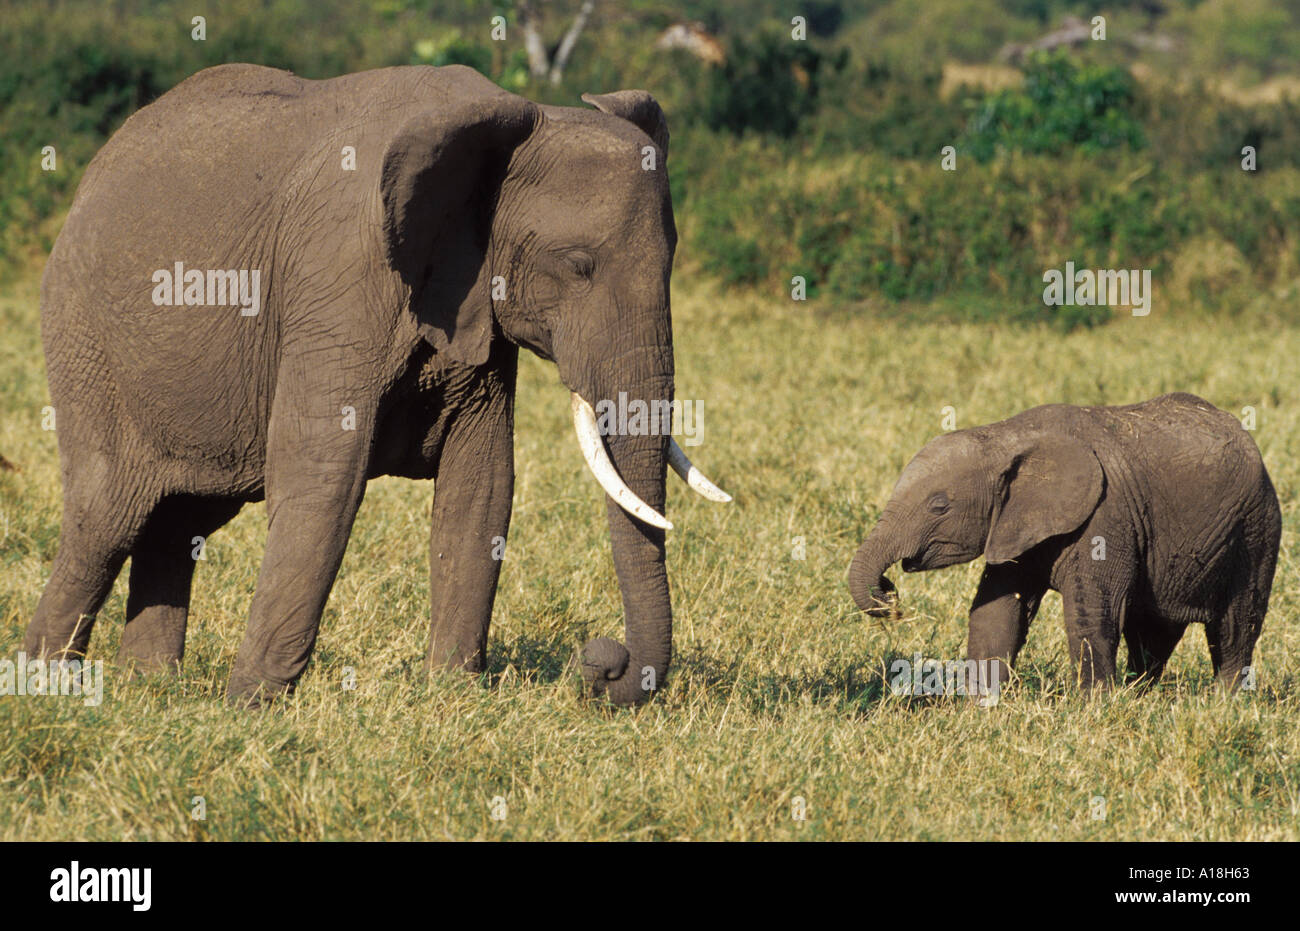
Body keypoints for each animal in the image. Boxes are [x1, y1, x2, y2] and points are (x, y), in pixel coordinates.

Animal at [25, 63, 733, 707]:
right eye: (579, 266)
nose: (604, 662)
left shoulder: (473, 305)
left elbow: (483, 483)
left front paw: (452, 699)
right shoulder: (340, 280)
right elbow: (323, 476)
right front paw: (250, 709)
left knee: (178, 520)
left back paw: (148, 689)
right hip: (83, 339)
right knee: (105, 518)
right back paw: (50, 690)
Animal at [847, 390, 1284, 691]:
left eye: (939, 506)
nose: (890, 596)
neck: (1005, 436)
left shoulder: (1106, 516)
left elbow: (1092, 611)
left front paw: (1095, 709)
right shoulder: (1015, 522)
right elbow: (996, 610)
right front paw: (981, 708)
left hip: (1257, 528)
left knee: (1235, 625)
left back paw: (1224, 704)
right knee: (1153, 631)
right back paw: (1141, 695)